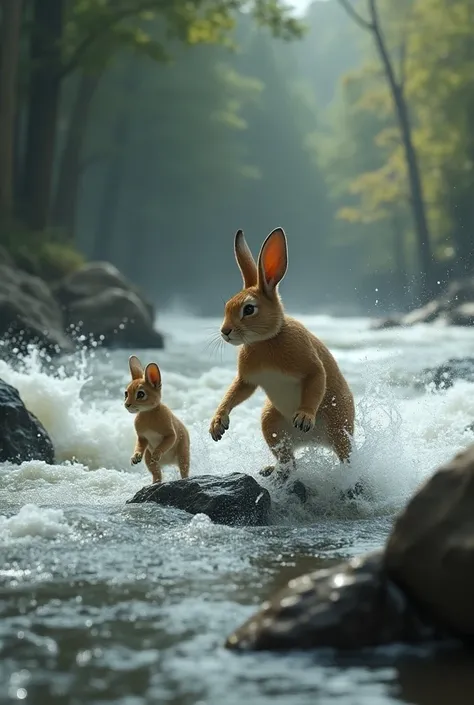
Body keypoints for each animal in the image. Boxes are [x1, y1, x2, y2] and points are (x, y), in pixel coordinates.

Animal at [125, 354, 190, 482]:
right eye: (126, 393)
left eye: (141, 394)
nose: (127, 404)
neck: (148, 413)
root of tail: (169, 463)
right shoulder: (142, 437)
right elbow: (139, 446)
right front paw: (135, 457)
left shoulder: (170, 434)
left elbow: (166, 443)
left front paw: (156, 455)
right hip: (148, 460)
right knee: (156, 474)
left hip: (183, 454)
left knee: (184, 471)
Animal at [209, 228, 354, 482]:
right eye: (227, 307)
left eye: (249, 309)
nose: (225, 332)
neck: (267, 340)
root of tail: (314, 442)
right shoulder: (247, 380)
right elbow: (234, 394)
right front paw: (218, 425)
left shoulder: (311, 366)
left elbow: (316, 381)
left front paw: (304, 418)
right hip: (271, 422)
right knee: (289, 461)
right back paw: (272, 470)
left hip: (338, 426)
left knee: (344, 454)